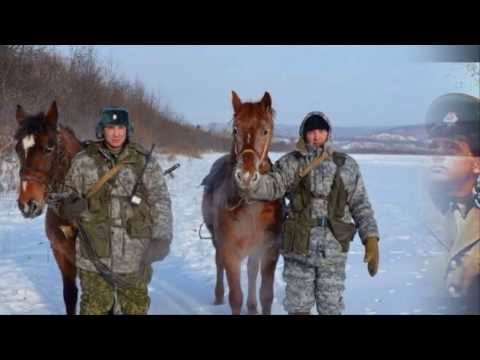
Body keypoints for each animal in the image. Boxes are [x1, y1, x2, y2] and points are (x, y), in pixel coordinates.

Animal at [201, 90, 284, 316]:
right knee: (218, 264)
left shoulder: (269, 251)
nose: (246, 176)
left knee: (252, 272)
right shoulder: (230, 251)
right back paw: (218, 296)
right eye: (235, 128)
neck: (251, 205)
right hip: (217, 241)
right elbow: (236, 297)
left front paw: (256, 305)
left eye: (265, 130)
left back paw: (252, 307)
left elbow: (266, 295)